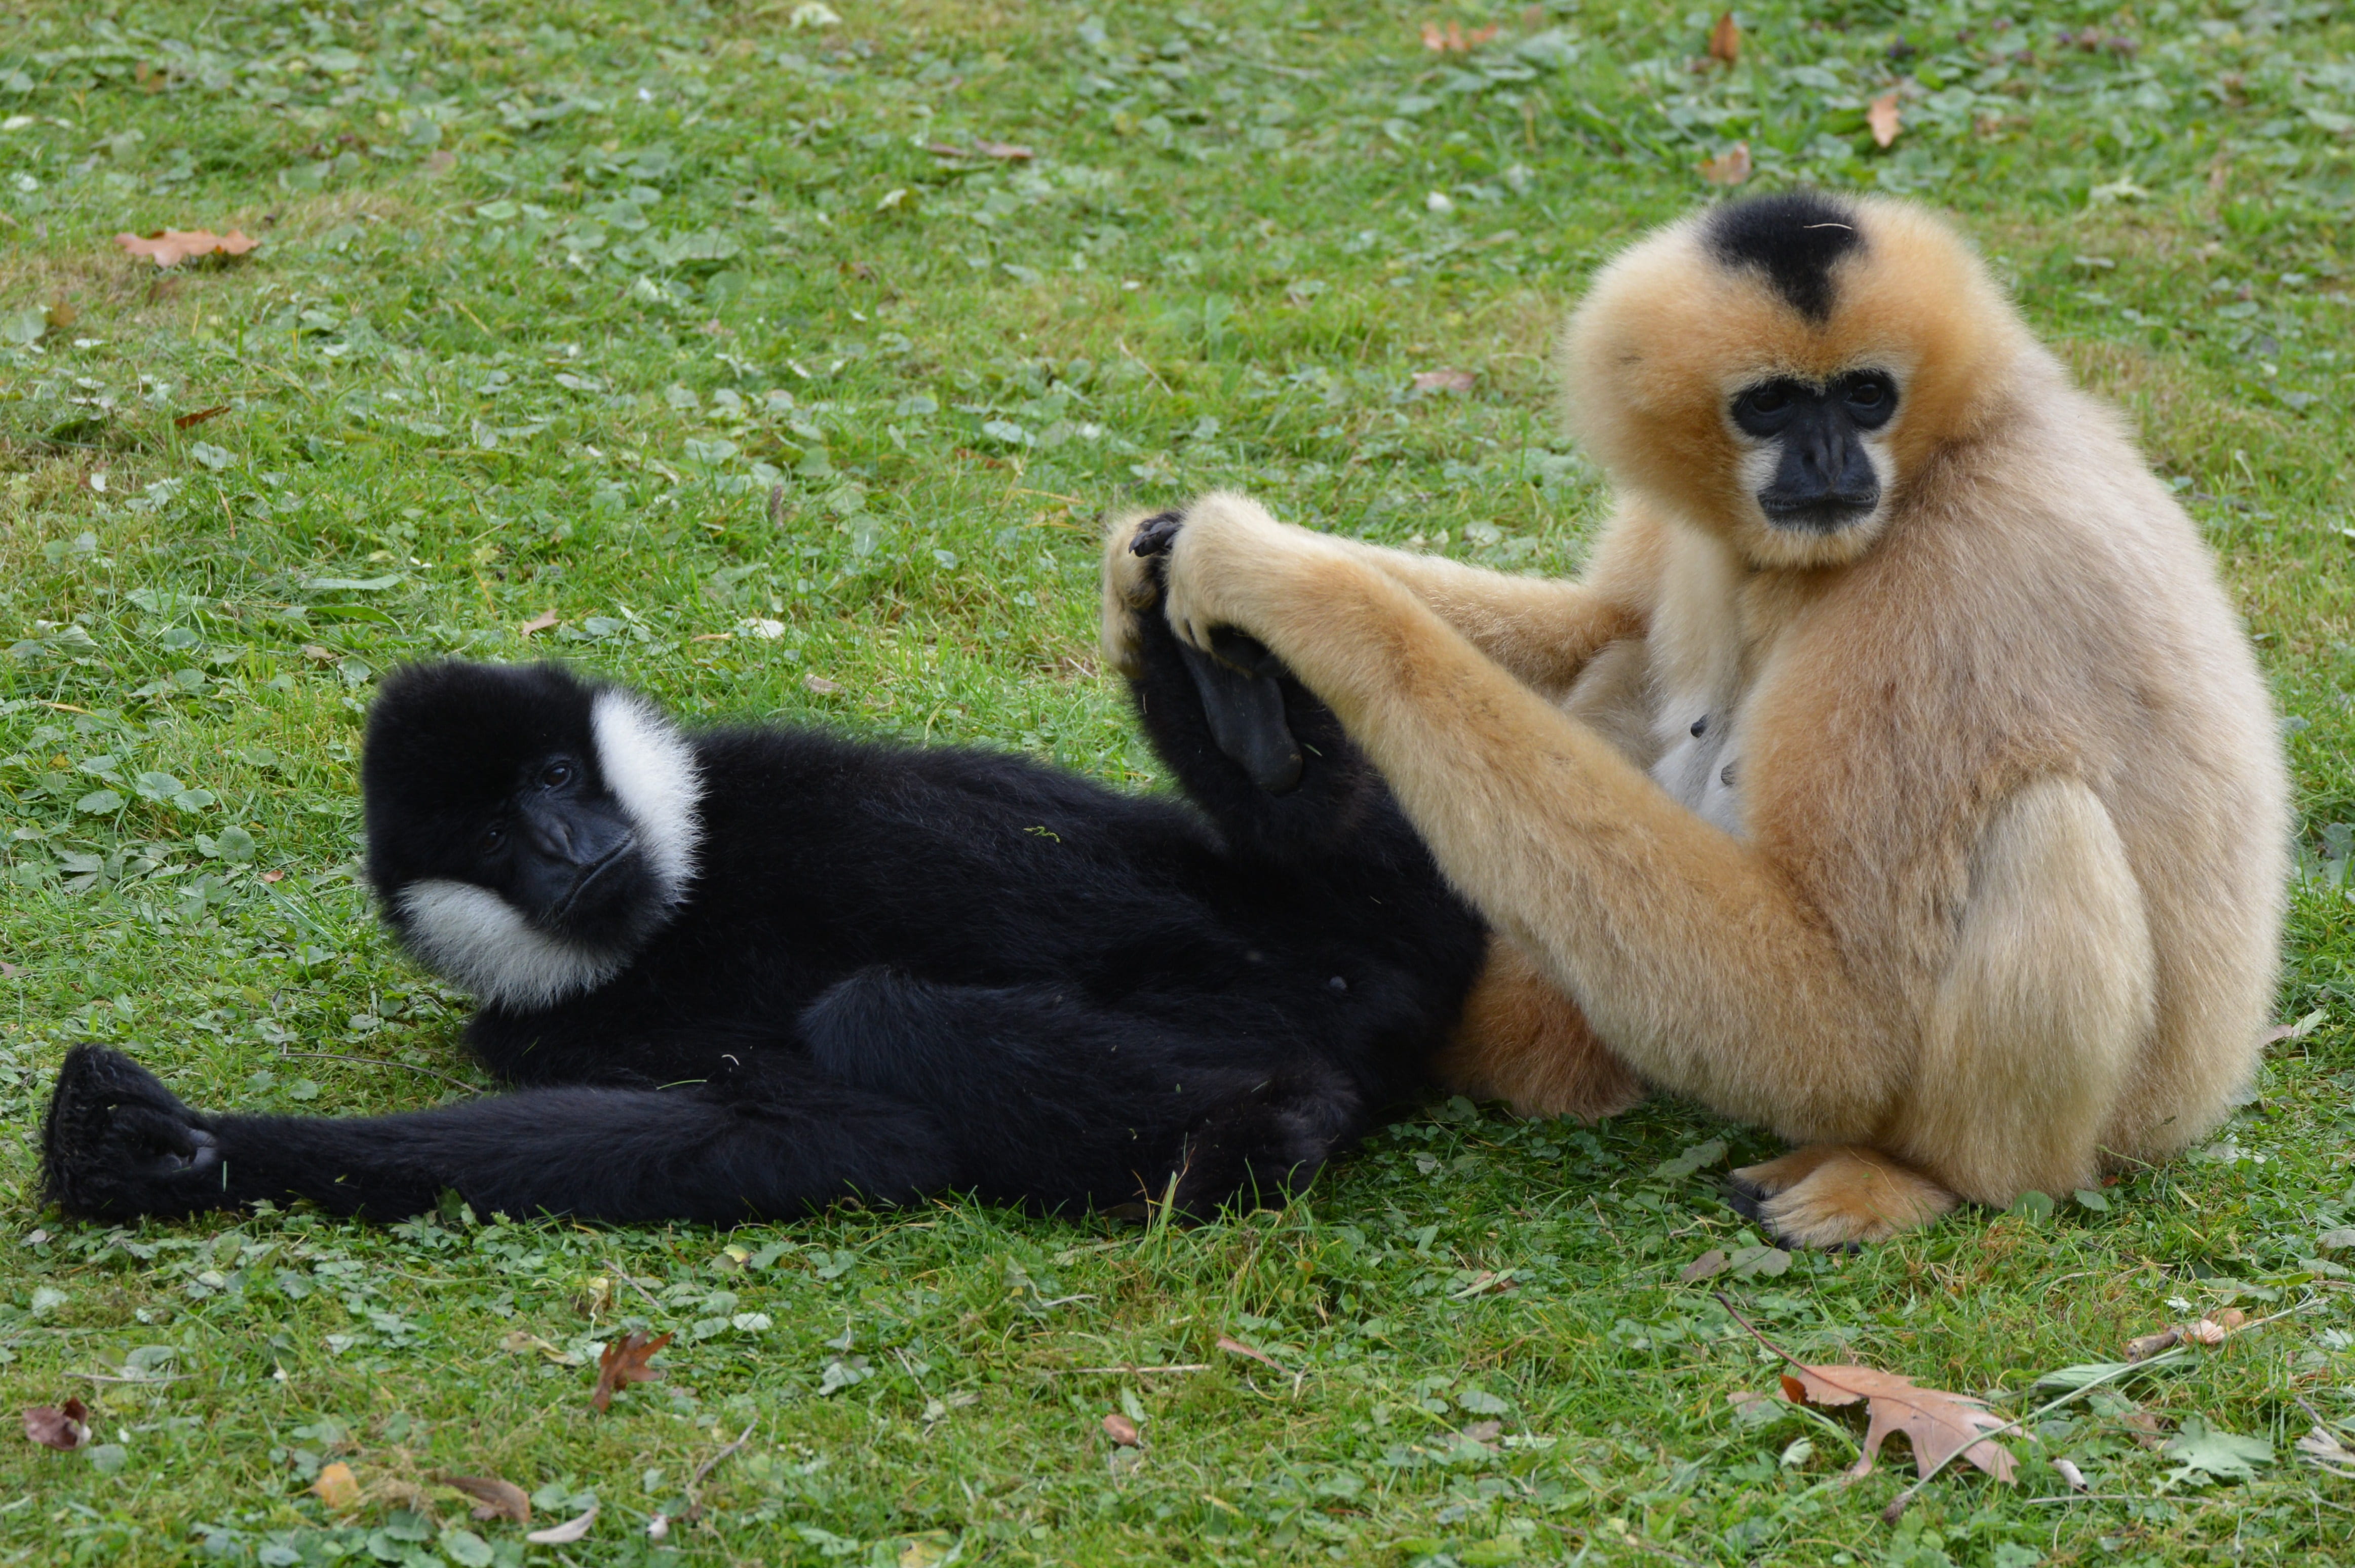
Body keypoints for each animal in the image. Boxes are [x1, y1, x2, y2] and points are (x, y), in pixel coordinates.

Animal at [40, 561, 1487, 1228]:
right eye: (498, 836)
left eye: (554, 776)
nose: (566, 842)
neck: (684, 909)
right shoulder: (545, 1032)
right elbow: (819, 1132)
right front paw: (188, 1153)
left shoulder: (772, 771)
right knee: (882, 1015)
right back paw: (1268, 1122)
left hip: (1393, 921)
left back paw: (1254, 744)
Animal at [1101, 189, 2288, 1248]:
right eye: (1769, 405)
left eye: (1865, 395)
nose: (1827, 462)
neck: (1948, 450)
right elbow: (1595, 621)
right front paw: (1151, 581)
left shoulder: (1960, 582)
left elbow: (1842, 1014)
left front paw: (1287, 583)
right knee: (1626, 658)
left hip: (2113, 1125)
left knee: (2041, 826)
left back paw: (1923, 1179)